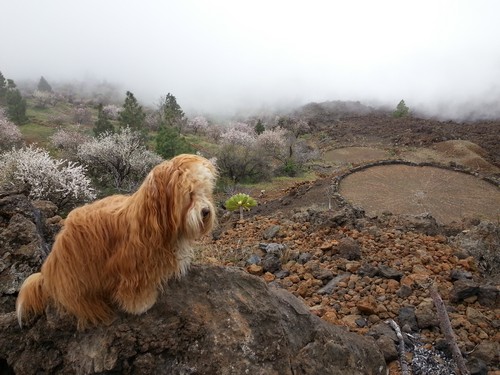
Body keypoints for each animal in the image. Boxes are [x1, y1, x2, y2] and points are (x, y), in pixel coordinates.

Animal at [16, 153, 216, 328]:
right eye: (190, 194)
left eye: (204, 192)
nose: (206, 211)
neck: (155, 219)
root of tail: (50, 270)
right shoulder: (132, 263)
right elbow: (135, 286)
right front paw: (140, 304)